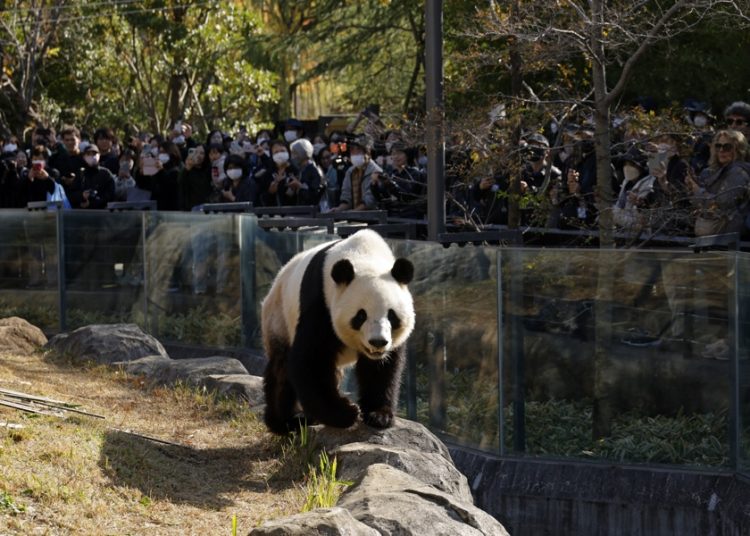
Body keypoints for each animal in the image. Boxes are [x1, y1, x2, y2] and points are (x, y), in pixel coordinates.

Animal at [261, 229, 415, 435]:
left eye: (391, 315)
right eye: (361, 316)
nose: (378, 342)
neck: (365, 255)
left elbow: (381, 369)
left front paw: (378, 415)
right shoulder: (321, 303)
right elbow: (311, 361)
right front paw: (346, 412)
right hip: (279, 316)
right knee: (282, 368)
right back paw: (288, 421)